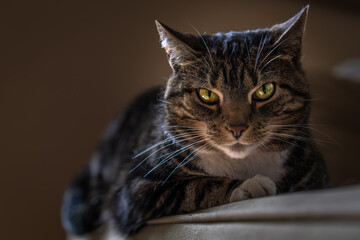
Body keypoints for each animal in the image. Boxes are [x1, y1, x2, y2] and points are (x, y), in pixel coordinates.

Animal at [62, 5, 330, 238]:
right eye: (206, 95)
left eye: (265, 90)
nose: (237, 128)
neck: (241, 163)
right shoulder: (135, 189)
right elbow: (195, 186)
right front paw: (250, 185)